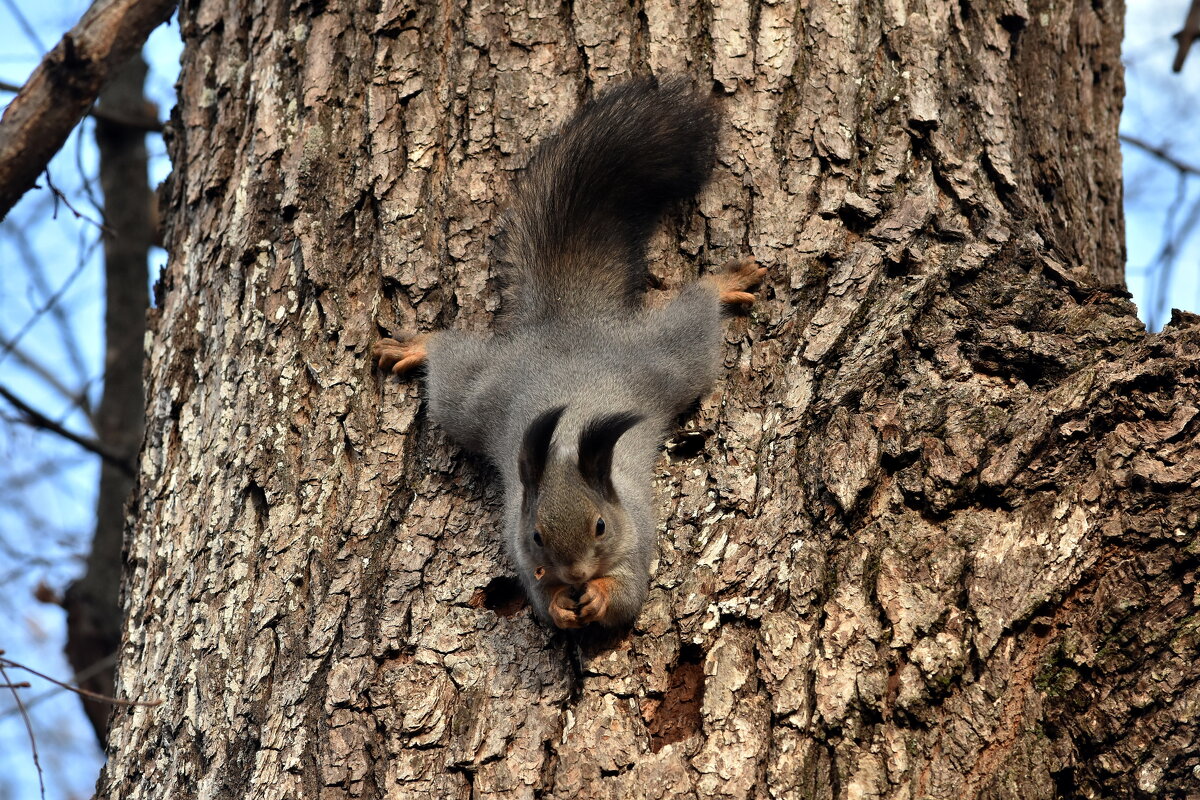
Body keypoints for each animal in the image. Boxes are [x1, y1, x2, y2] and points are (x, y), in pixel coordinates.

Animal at [374, 79, 763, 633]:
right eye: (537, 535)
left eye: (600, 525)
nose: (576, 574)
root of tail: (567, 324)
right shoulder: (523, 557)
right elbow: (540, 601)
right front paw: (561, 603)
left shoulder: (636, 539)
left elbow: (629, 596)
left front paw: (599, 599)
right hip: (475, 396)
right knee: (450, 364)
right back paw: (417, 345)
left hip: (667, 359)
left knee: (695, 322)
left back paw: (721, 284)